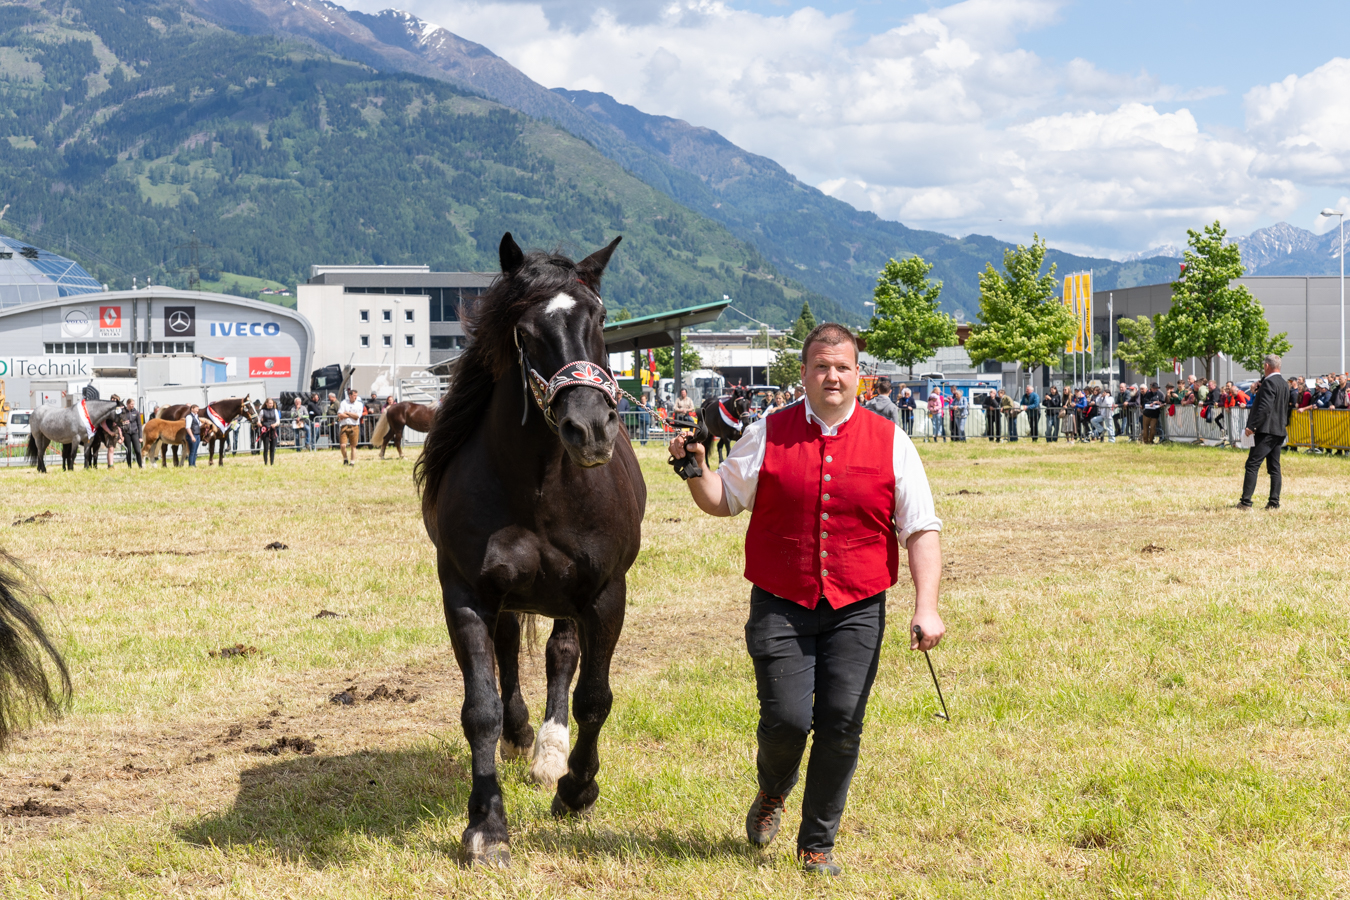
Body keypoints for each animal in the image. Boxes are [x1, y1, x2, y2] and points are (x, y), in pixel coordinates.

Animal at [414, 233, 644, 867]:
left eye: (600, 317)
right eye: (523, 330)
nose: (588, 428)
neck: (537, 487)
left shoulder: (604, 594)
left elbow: (594, 696)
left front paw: (576, 788)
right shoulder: (467, 593)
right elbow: (481, 708)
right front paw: (487, 825)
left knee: (561, 656)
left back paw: (550, 750)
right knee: (510, 652)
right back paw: (523, 737)